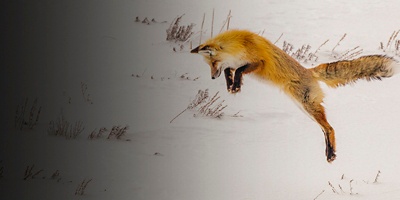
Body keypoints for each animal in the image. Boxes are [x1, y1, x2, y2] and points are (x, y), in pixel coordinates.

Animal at [191, 28, 400, 162]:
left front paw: (235, 84)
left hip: (308, 105)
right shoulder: (233, 64)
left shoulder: (259, 62)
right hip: (304, 108)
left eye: (213, 63)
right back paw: (329, 153)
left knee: (330, 128)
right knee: (325, 129)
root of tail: (309, 71)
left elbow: (241, 69)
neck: (239, 45)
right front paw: (231, 86)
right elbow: (230, 71)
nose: (212, 77)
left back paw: (331, 153)